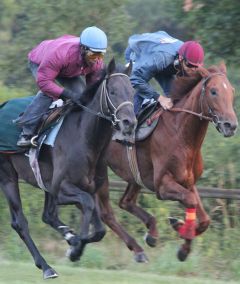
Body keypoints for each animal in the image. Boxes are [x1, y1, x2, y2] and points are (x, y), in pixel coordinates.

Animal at [0, 58, 137, 278]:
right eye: (113, 91)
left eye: (132, 91)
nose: (129, 123)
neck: (86, 138)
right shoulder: (62, 189)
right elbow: (87, 206)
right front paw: (75, 248)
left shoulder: (90, 188)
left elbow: (99, 229)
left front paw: (74, 243)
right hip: (8, 176)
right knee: (20, 223)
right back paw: (46, 267)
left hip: (44, 183)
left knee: (47, 215)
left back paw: (67, 236)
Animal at [96, 61, 238, 262]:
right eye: (213, 91)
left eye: (232, 91)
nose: (231, 126)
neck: (181, 133)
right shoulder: (162, 185)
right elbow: (191, 201)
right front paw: (181, 234)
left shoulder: (188, 182)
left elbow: (204, 219)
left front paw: (181, 237)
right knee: (106, 213)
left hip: (135, 175)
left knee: (125, 202)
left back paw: (151, 232)